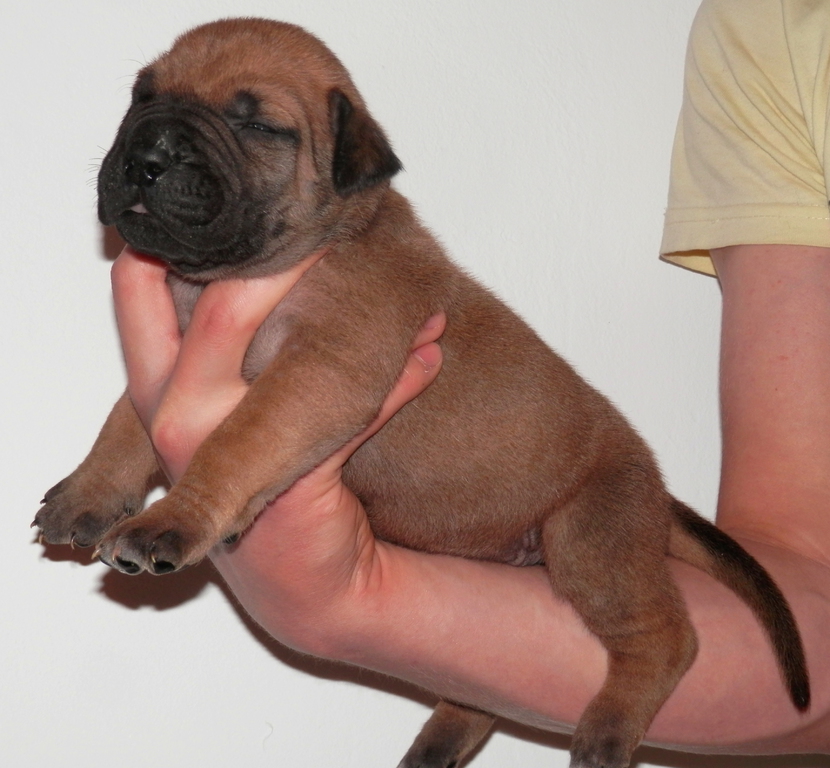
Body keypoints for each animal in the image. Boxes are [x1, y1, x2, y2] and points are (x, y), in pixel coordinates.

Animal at [33, 19, 810, 768]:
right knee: (483, 687)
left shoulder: (320, 371)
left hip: (593, 538)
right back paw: (439, 741)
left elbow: (233, 442)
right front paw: (89, 492)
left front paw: (173, 519)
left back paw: (608, 729)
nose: (147, 153)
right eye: (143, 96)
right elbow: (126, 421)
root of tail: (657, 495)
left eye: (255, 124)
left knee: (666, 636)